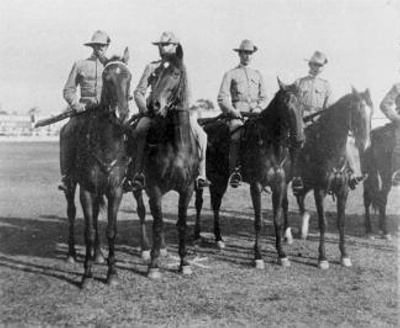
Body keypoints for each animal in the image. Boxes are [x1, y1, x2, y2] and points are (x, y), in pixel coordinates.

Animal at [62, 47, 138, 286]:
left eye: (129, 76)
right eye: (107, 77)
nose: (121, 114)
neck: (106, 144)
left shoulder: (115, 190)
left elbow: (110, 231)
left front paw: (111, 272)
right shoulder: (86, 190)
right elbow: (89, 232)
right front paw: (86, 275)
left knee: (95, 216)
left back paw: (97, 255)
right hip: (71, 185)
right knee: (71, 212)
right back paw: (71, 254)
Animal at [139, 44, 202, 278]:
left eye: (175, 73)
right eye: (154, 74)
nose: (153, 105)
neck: (177, 145)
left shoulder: (187, 189)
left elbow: (181, 224)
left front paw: (184, 263)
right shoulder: (154, 187)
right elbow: (157, 224)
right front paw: (154, 266)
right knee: (143, 213)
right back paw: (147, 250)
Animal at [194, 80, 304, 270]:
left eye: (302, 105)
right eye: (286, 105)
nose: (299, 140)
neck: (271, 147)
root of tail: (205, 126)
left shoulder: (279, 186)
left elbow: (277, 219)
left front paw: (281, 254)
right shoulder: (256, 186)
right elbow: (258, 221)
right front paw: (258, 256)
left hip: (220, 179)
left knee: (215, 204)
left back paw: (218, 238)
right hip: (208, 177)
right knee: (200, 203)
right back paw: (197, 235)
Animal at [294, 87, 372, 270]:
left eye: (371, 113)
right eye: (356, 111)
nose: (364, 144)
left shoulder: (343, 191)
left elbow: (341, 222)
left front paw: (344, 256)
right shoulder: (320, 191)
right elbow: (323, 223)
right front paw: (322, 258)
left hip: (306, 184)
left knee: (300, 197)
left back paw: (303, 227)